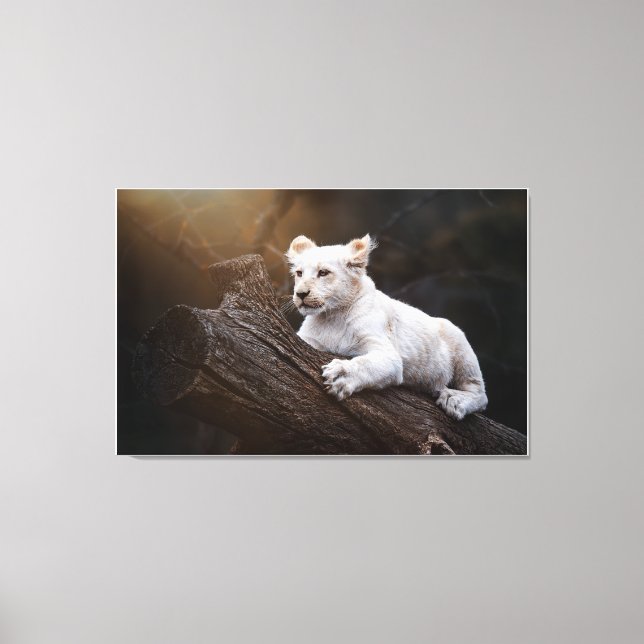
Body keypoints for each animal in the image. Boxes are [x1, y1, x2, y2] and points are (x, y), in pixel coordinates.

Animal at [286, 233, 488, 420]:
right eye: (299, 273)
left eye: (323, 272)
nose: (301, 293)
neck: (331, 317)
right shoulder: (309, 339)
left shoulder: (388, 354)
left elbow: (366, 363)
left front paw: (340, 375)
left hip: (459, 342)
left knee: (480, 393)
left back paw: (454, 400)